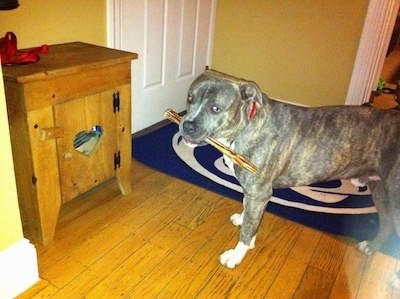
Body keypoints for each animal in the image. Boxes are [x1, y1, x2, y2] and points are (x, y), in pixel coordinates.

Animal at [180, 69, 400, 288]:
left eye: (215, 108)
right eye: (190, 98)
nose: (187, 125)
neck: (245, 126)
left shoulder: (259, 192)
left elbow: (247, 229)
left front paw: (236, 255)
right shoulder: (253, 192)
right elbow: (249, 214)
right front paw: (244, 223)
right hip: (379, 189)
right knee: (387, 224)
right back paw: (371, 247)